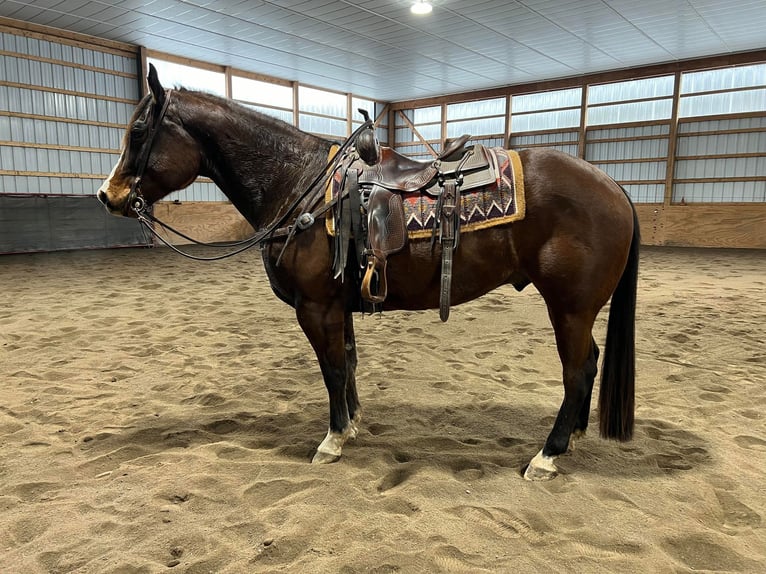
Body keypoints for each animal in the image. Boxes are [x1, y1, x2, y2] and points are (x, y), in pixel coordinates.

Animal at [99, 66, 640, 482]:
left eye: (140, 131)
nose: (109, 195)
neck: (301, 185)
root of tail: (612, 186)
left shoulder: (315, 308)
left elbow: (332, 369)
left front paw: (334, 438)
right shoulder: (339, 306)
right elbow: (350, 364)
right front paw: (354, 423)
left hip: (570, 309)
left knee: (577, 371)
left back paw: (547, 455)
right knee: (589, 365)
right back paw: (572, 438)